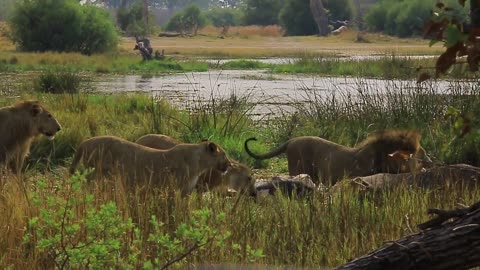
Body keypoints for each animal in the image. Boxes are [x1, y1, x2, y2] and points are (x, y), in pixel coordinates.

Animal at [69, 135, 231, 196]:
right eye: (224, 155)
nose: (229, 165)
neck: (200, 164)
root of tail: (84, 142)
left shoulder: (185, 192)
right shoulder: (175, 188)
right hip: (97, 172)